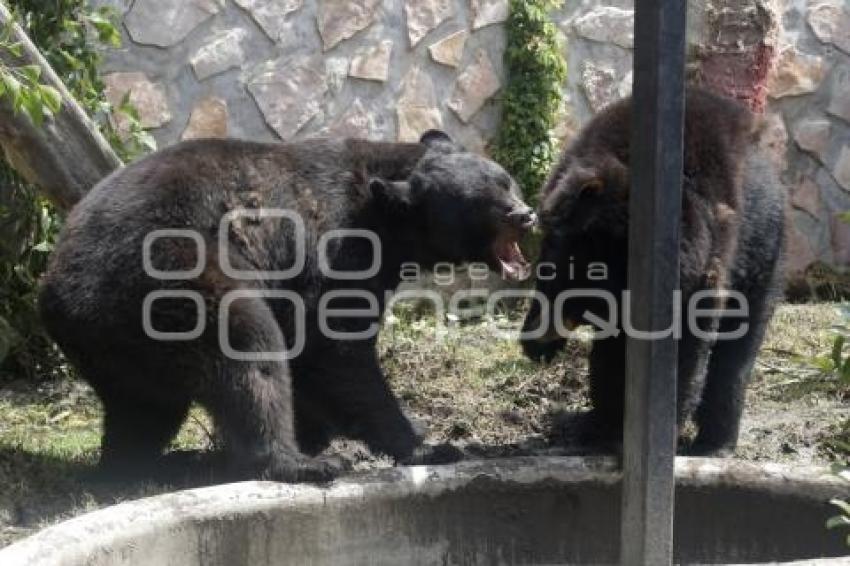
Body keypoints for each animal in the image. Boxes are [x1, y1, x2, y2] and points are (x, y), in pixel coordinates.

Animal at [520, 90, 784, 462]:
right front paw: (604, 425)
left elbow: (686, 344)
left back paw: (714, 443)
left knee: (738, 348)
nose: (536, 343)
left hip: (763, 252)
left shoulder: (700, 263)